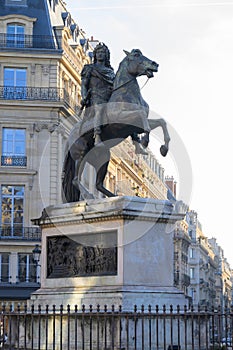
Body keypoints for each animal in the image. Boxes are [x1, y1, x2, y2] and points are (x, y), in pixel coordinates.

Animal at [62, 49, 170, 202]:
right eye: (136, 55)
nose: (155, 64)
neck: (126, 93)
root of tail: (70, 136)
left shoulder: (135, 123)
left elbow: (161, 121)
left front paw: (163, 148)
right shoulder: (122, 118)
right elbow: (143, 116)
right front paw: (145, 141)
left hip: (103, 158)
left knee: (98, 184)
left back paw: (112, 197)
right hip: (80, 153)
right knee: (76, 180)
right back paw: (89, 195)